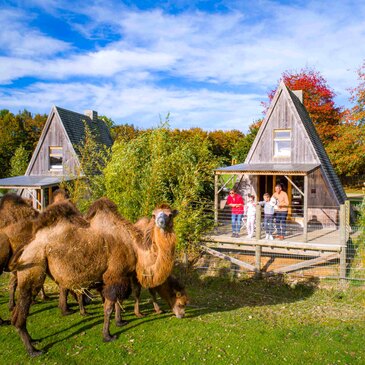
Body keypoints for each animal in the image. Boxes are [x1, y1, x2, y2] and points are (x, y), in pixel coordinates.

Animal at [11, 198, 176, 354]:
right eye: (154, 215)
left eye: (170, 214)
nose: (161, 222)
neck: (134, 247)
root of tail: (25, 247)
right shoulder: (114, 275)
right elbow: (109, 307)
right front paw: (107, 335)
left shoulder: (118, 277)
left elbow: (116, 301)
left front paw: (120, 322)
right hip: (34, 263)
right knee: (23, 306)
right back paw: (33, 350)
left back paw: (33, 340)